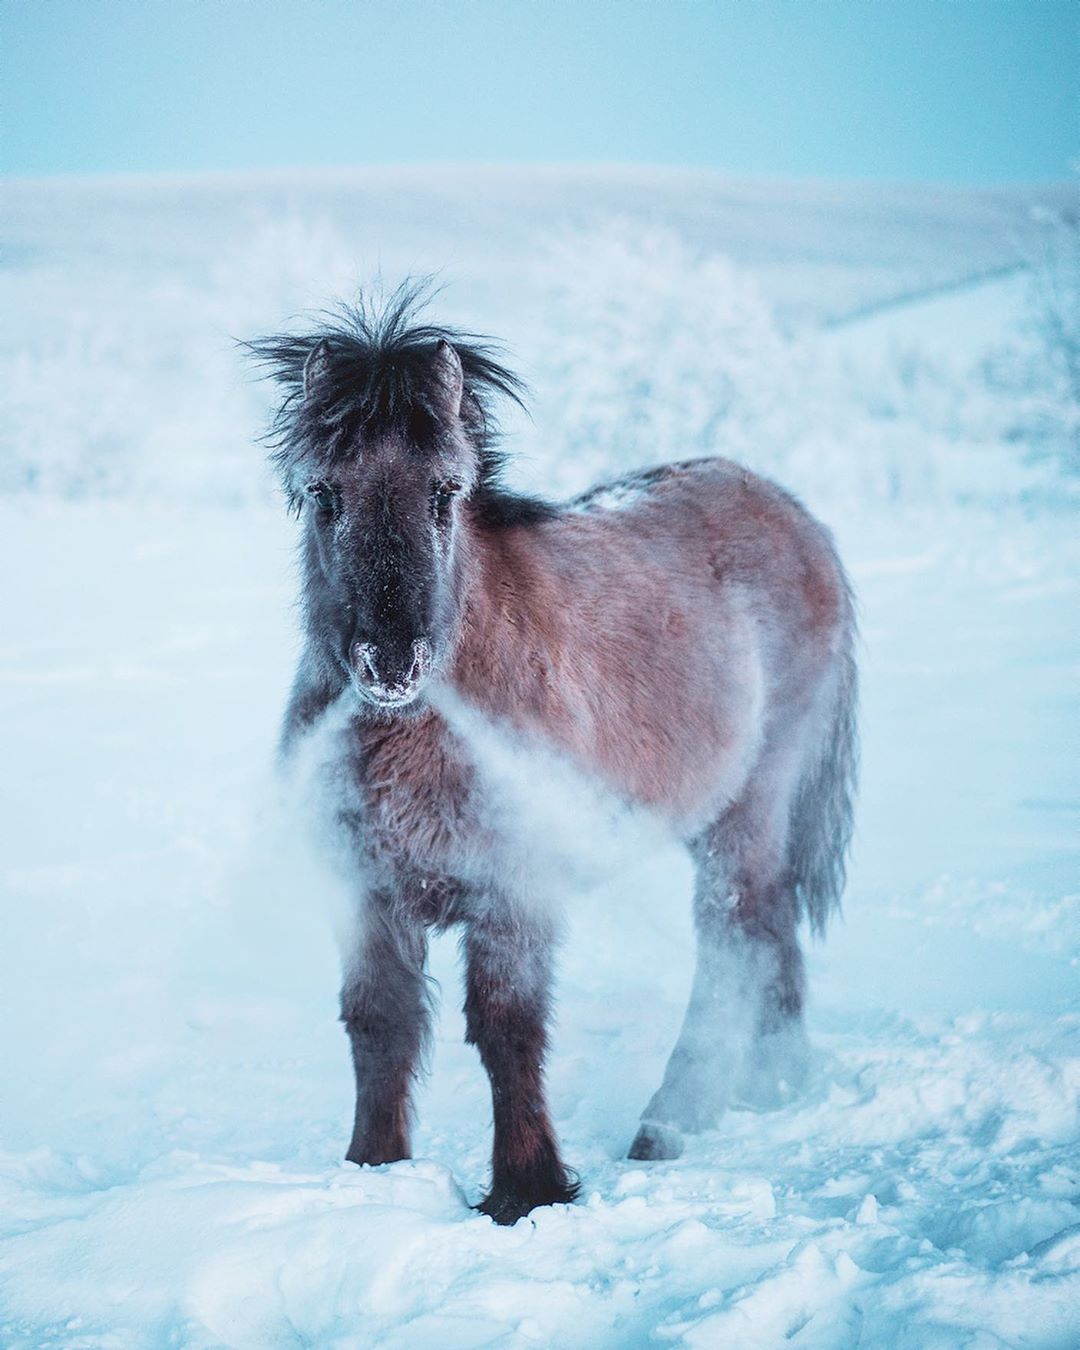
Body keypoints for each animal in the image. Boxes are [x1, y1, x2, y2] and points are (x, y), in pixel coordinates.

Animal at [248, 284, 858, 1225]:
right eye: (323, 493)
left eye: (445, 493)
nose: (391, 660)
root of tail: (794, 516)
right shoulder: (365, 890)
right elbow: (379, 1023)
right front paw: (372, 1173)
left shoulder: (514, 891)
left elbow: (507, 1029)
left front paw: (526, 1192)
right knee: (770, 936)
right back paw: (769, 1086)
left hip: (750, 807)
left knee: (737, 942)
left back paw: (670, 1123)